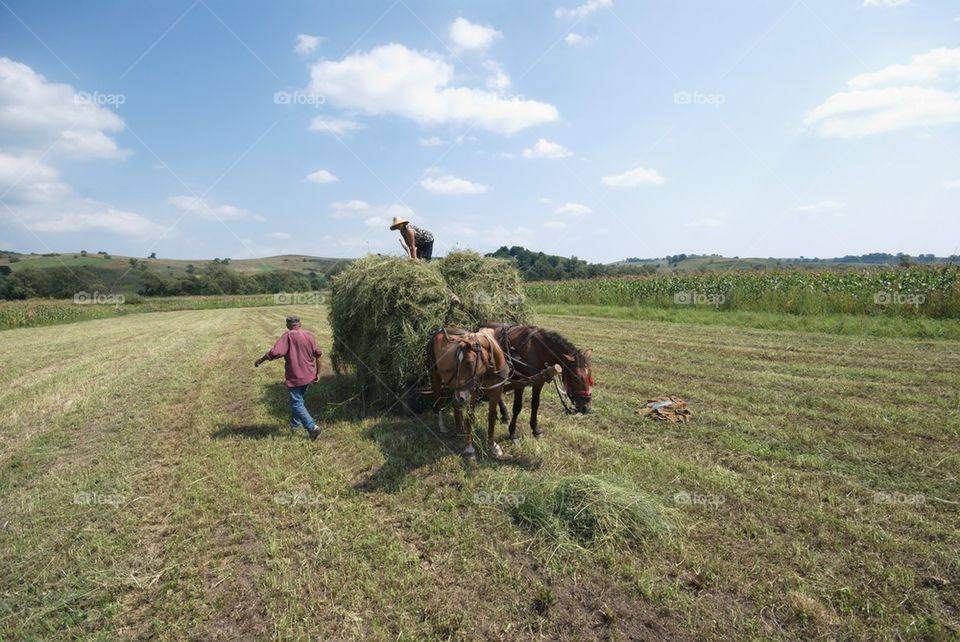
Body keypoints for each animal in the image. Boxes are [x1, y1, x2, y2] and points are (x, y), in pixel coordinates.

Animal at [430, 328, 512, 458]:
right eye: (457, 362)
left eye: (469, 362)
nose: (461, 396)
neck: (490, 370)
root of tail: (438, 332)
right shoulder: (472, 394)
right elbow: (470, 417)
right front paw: (469, 448)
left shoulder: (496, 391)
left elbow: (492, 417)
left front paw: (492, 445)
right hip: (437, 377)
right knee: (439, 400)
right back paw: (442, 426)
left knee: (455, 403)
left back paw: (460, 426)